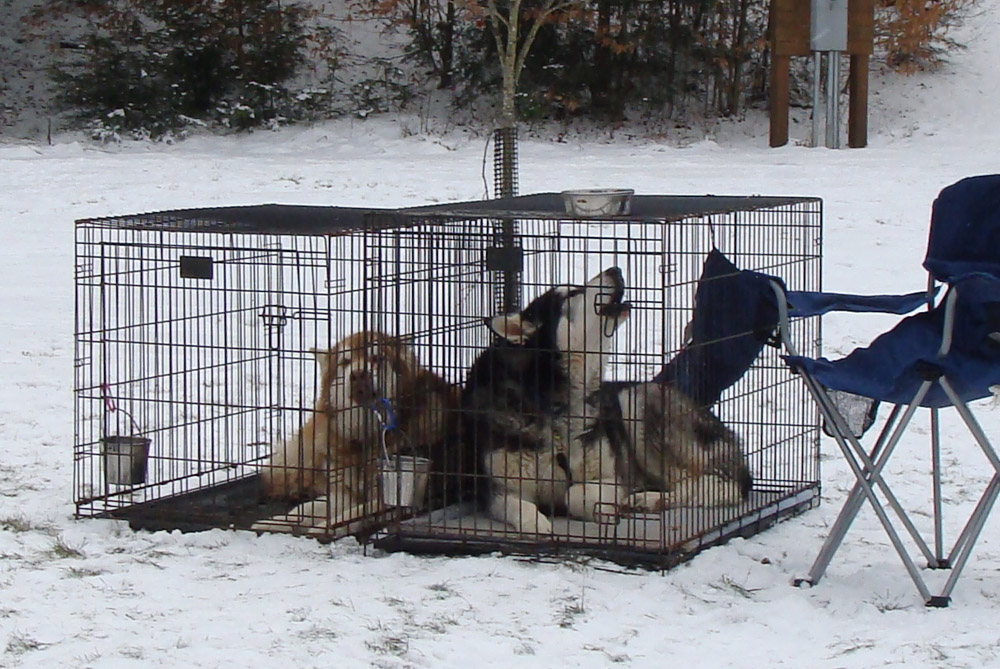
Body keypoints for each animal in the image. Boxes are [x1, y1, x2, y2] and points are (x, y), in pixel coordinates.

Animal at [256, 330, 462, 536]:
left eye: (377, 358)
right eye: (345, 361)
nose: (358, 374)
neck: (366, 436)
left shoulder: (395, 499)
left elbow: (355, 515)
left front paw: (325, 529)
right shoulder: (344, 493)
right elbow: (304, 509)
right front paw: (276, 522)